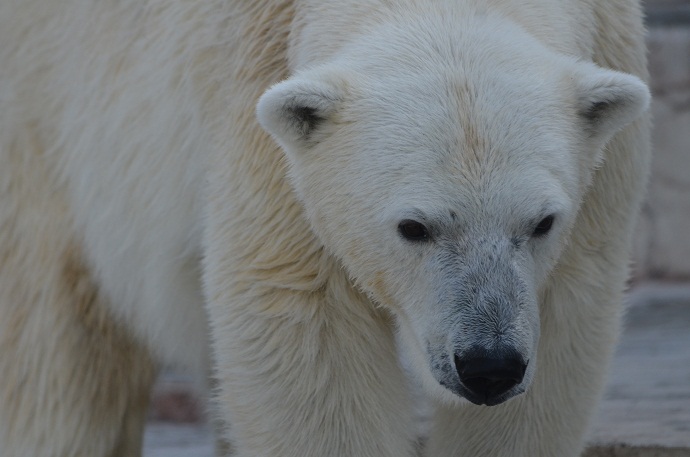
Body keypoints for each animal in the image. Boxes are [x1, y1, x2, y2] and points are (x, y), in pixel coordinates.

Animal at [0, 0, 648, 456]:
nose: (489, 364)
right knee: (60, 357)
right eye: (413, 227)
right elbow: (311, 333)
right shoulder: (265, 125)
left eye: (541, 222)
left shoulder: (604, 163)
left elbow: (562, 328)